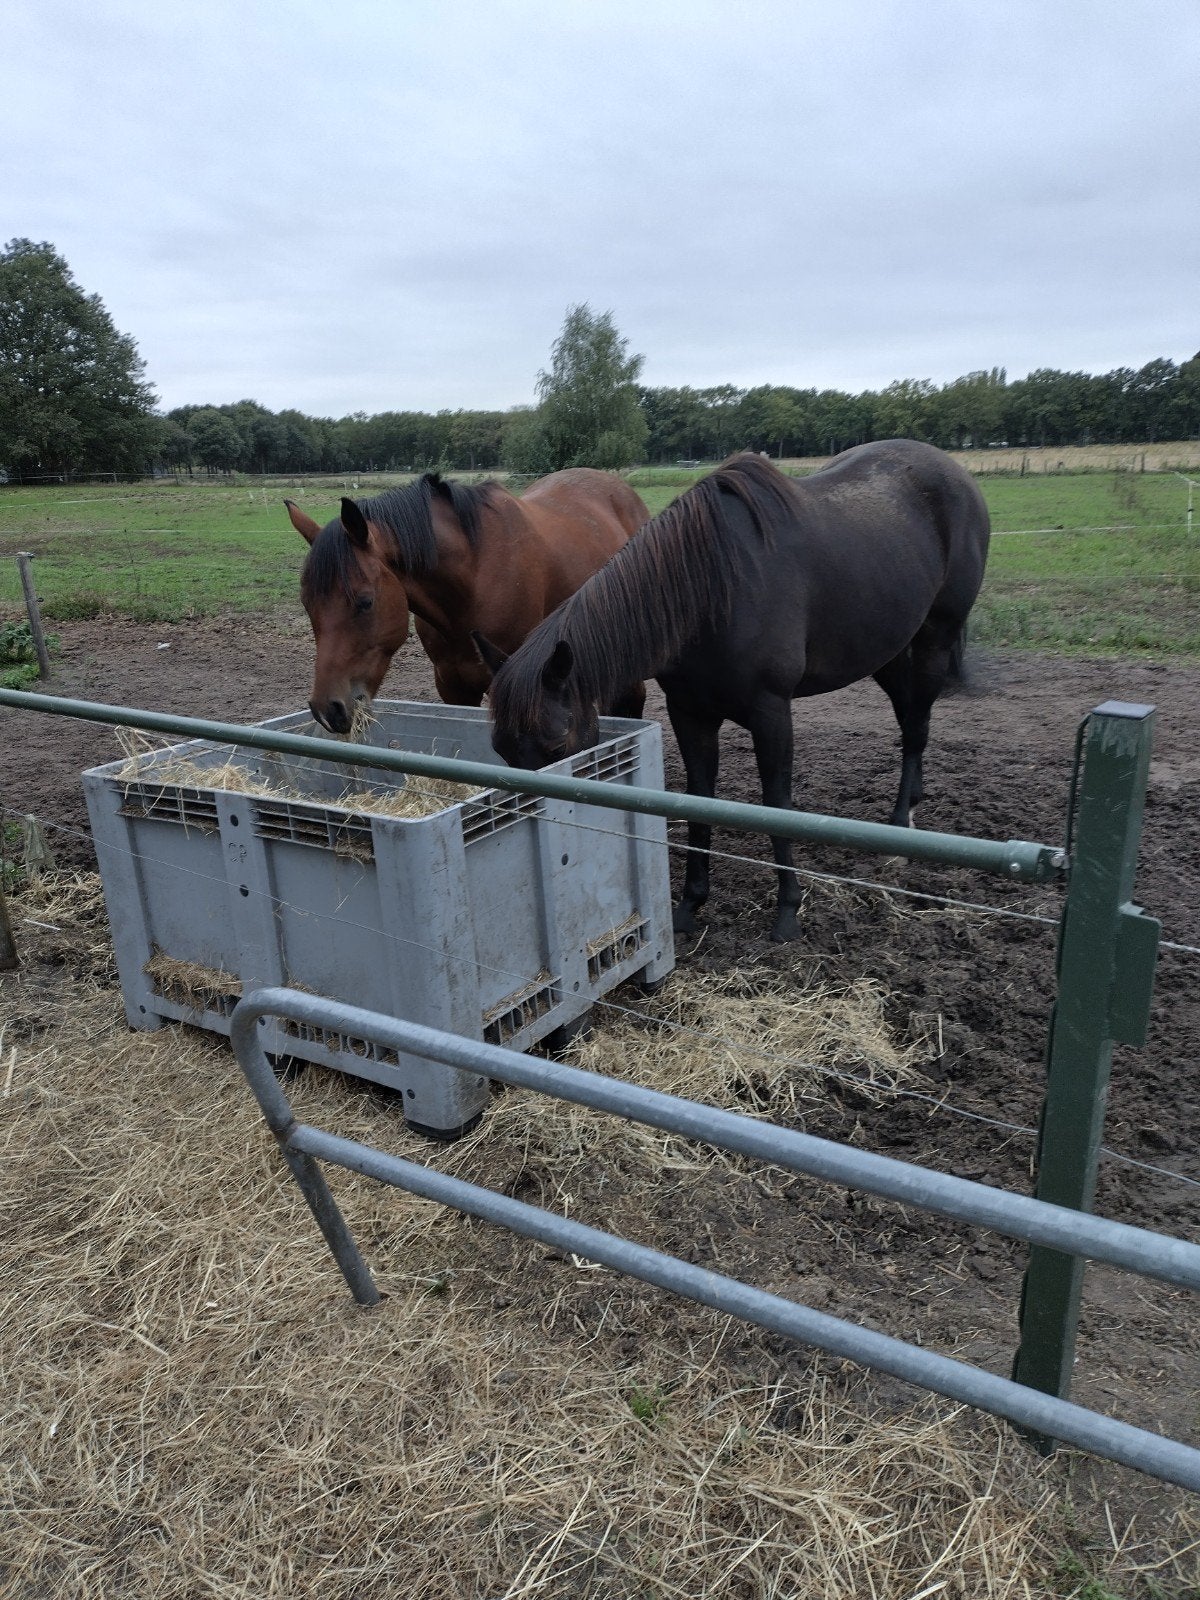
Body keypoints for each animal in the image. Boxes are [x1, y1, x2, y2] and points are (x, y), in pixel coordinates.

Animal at [477, 441, 990, 942]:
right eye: (500, 748)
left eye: (555, 746)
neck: (710, 591)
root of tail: (953, 470)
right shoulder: (690, 714)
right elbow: (697, 800)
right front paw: (689, 906)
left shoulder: (771, 712)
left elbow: (777, 803)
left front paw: (788, 912)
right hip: (886, 649)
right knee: (908, 716)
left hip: (935, 638)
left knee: (917, 724)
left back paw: (901, 826)